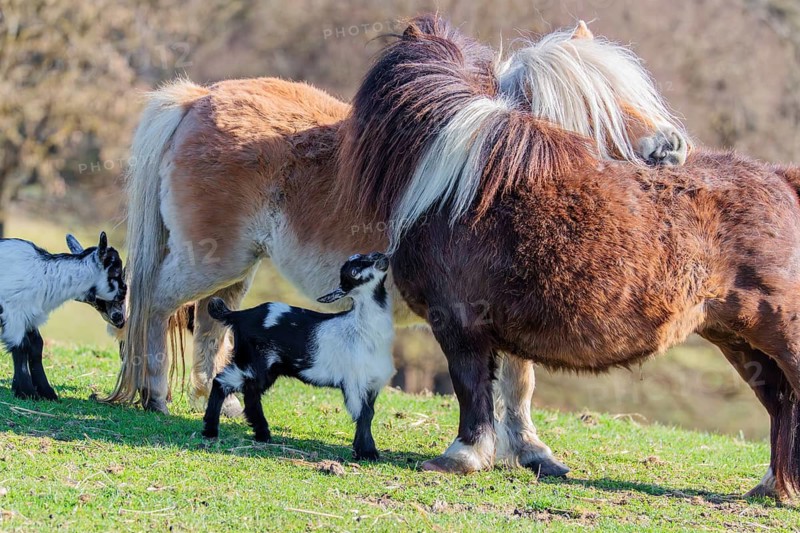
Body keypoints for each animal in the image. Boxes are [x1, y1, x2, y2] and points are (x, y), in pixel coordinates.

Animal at [0, 232, 127, 399]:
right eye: (115, 271)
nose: (125, 290)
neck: (45, 276)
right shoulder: (14, 314)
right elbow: (21, 347)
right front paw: (26, 391)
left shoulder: (31, 317)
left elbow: (37, 346)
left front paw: (46, 392)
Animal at [202, 252, 395, 460]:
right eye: (353, 271)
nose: (381, 257)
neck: (360, 327)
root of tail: (239, 315)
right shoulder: (355, 382)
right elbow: (364, 415)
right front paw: (368, 452)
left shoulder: (371, 384)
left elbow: (369, 413)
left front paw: (363, 450)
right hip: (252, 362)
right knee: (222, 381)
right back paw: (211, 430)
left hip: (264, 368)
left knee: (250, 392)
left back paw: (262, 434)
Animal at [338, 13, 800, 501]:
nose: (673, 147)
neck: (460, 184)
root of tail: (781, 179)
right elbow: (511, 385)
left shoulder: (458, 321)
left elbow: (470, 386)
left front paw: (462, 457)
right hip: (739, 340)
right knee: (779, 402)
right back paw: (772, 486)